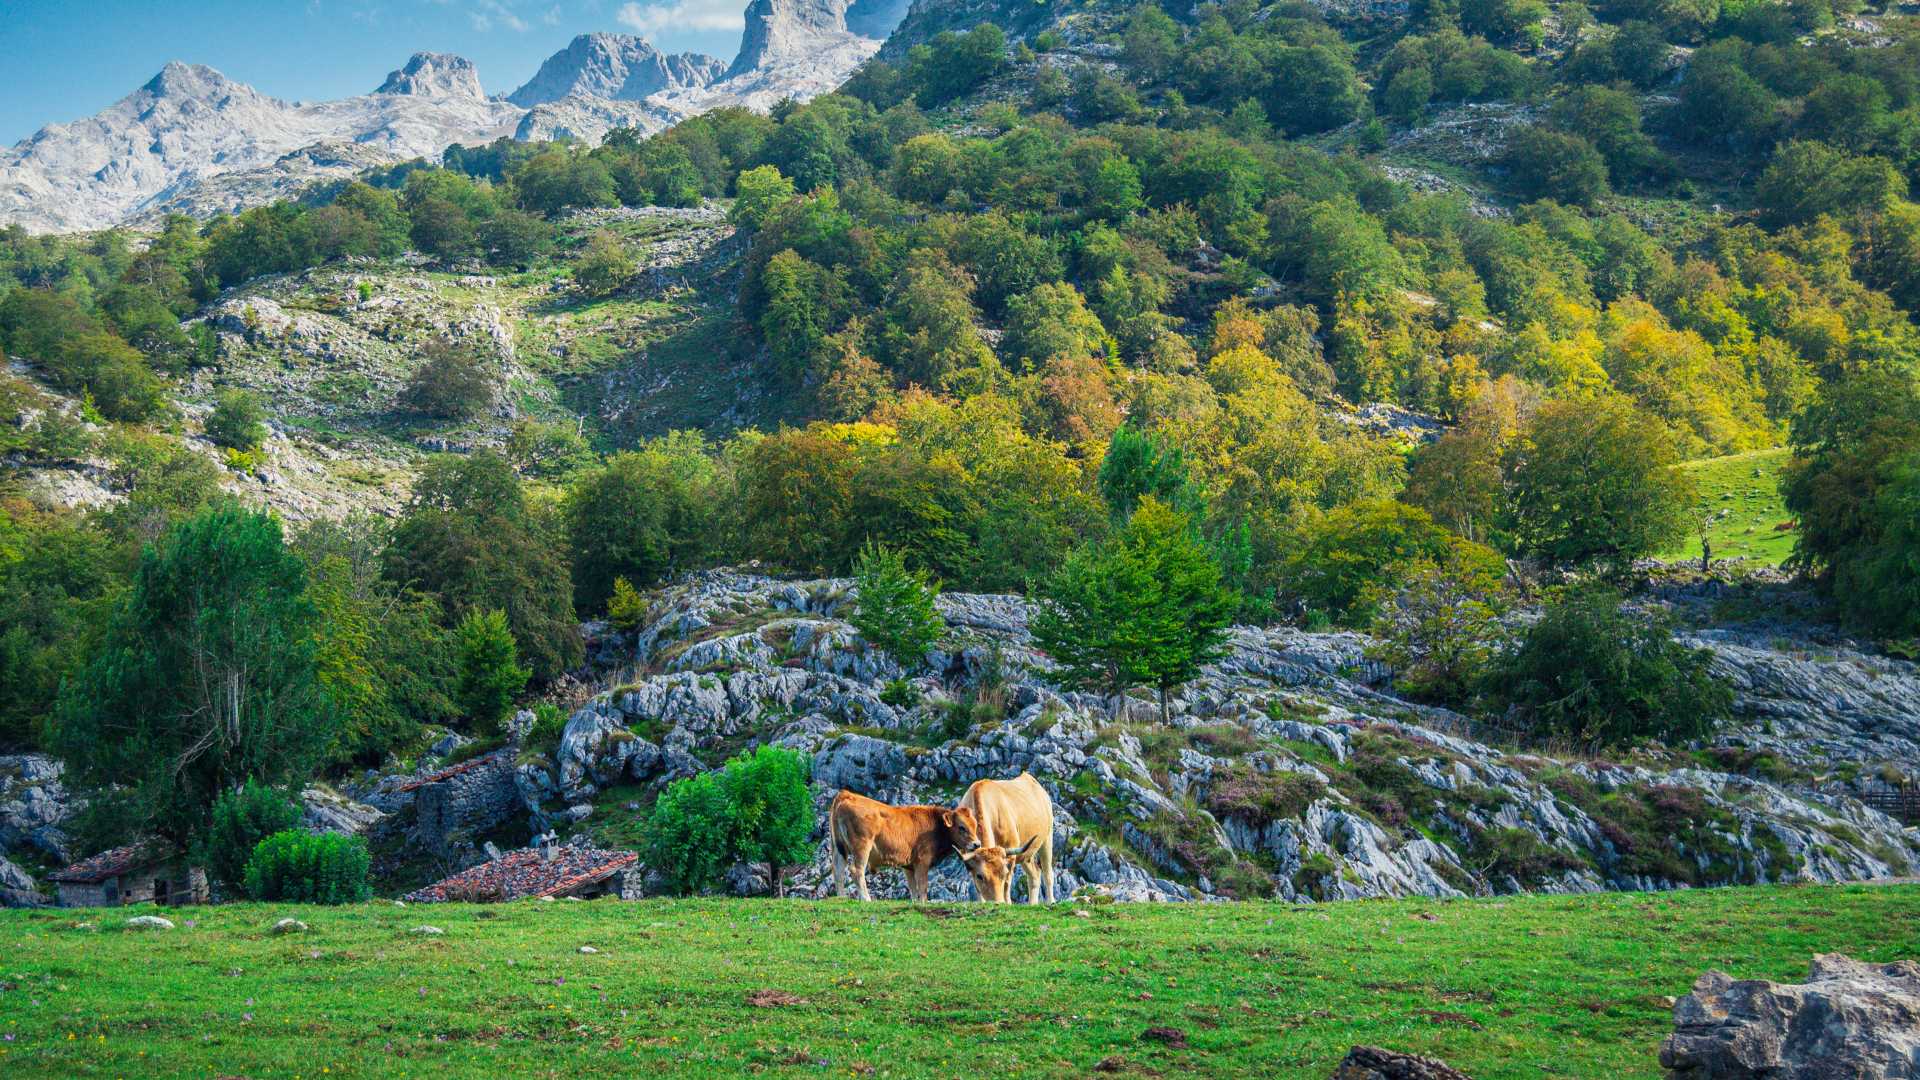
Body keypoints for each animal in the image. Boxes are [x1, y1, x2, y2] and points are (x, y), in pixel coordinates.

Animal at [828, 790, 972, 902]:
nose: (976, 844)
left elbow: (913, 888)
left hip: (839, 848)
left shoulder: (909, 865)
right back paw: (866, 899)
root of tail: (848, 794)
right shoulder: (922, 861)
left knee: (838, 870)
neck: (936, 824)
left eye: (974, 825)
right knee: (856, 870)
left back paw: (841, 898)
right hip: (862, 847)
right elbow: (922, 887)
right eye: (962, 827)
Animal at [954, 772, 1056, 904]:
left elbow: (1007, 885)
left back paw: (1050, 901)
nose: (998, 902)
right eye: (980, 876)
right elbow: (977, 887)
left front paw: (1007, 903)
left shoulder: (1011, 854)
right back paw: (1032, 903)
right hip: (1026, 854)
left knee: (1048, 873)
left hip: (1047, 839)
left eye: (1003, 873)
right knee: (1035, 875)